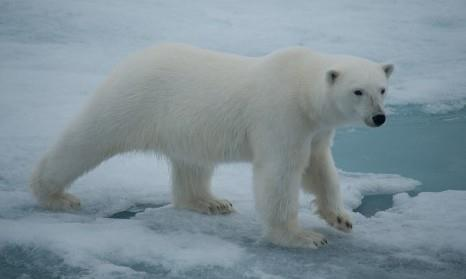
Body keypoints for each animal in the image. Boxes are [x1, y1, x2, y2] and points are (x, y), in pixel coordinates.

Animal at [30, 43, 394, 249]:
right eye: (358, 91)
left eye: (382, 88)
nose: (379, 118)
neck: (301, 88)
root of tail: (133, 59)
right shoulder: (281, 116)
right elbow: (280, 174)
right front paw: (302, 237)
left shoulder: (314, 128)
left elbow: (318, 168)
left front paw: (341, 219)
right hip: (133, 101)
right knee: (86, 141)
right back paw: (53, 194)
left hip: (184, 126)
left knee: (192, 164)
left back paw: (210, 202)